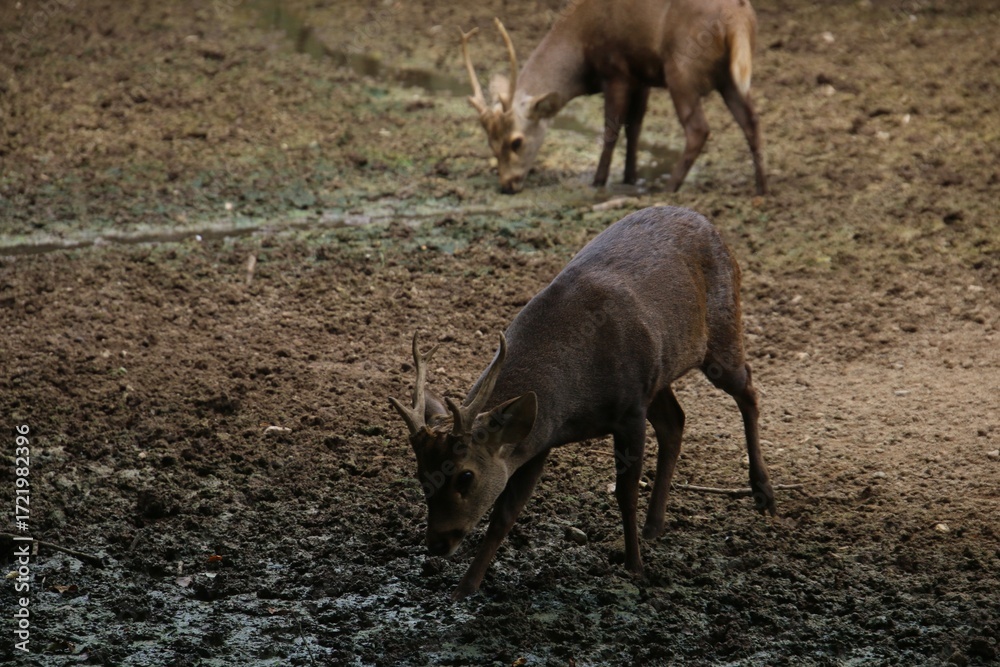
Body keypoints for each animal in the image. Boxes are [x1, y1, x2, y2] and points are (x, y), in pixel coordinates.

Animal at [389, 206, 776, 600]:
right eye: (422, 474)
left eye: (465, 475)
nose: (437, 542)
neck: (573, 403)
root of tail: (708, 222)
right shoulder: (539, 437)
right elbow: (505, 515)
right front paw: (465, 589)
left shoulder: (629, 409)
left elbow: (625, 493)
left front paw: (634, 567)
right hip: (660, 374)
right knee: (676, 421)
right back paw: (654, 526)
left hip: (723, 330)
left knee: (749, 390)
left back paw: (764, 495)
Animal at [460, 0, 767, 195]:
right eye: (490, 143)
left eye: (516, 142)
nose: (507, 185)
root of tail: (738, 17)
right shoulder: (642, 77)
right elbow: (635, 129)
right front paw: (630, 177)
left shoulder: (617, 71)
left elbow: (611, 130)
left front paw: (598, 181)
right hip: (728, 76)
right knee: (751, 120)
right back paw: (761, 187)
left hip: (682, 70)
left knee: (698, 129)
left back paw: (669, 188)